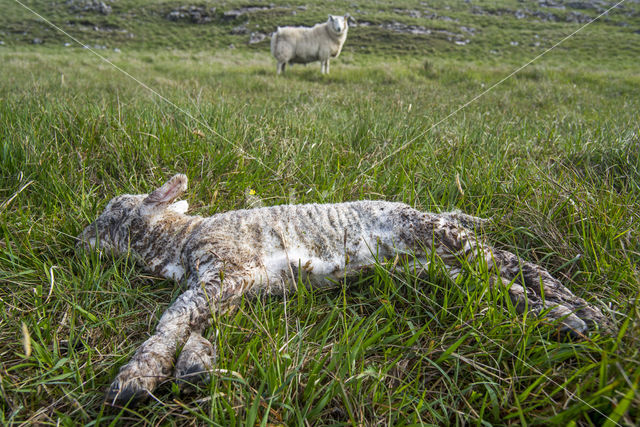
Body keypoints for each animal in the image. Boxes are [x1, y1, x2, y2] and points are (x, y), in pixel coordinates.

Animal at [76, 173, 616, 404]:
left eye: (111, 213)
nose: (78, 241)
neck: (183, 240)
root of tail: (428, 210)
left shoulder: (229, 268)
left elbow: (171, 318)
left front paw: (134, 378)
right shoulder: (231, 286)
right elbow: (192, 323)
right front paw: (194, 365)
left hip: (441, 237)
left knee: (518, 266)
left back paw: (590, 314)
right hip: (434, 266)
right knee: (497, 285)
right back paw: (565, 320)